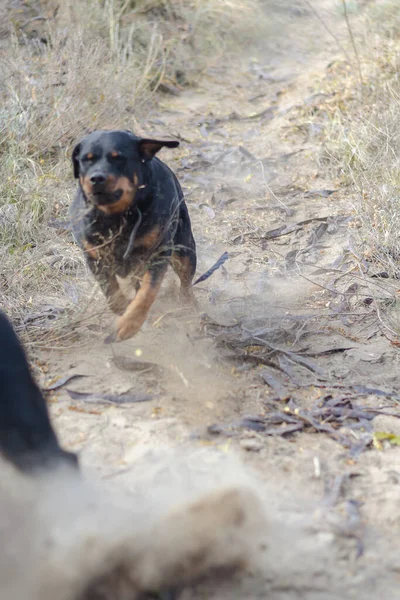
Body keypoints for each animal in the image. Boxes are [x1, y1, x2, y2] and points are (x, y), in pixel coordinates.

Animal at [70, 127, 198, 342]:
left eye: (118, 158)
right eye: (87, 159)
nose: (97, 178)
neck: (116, 217)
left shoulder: (157, 254)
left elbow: (148, 292)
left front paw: (129, 324)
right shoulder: (94, 257)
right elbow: (110, 291)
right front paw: (123, 308)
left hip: (184, 248)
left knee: (186, 280)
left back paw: (188, 304)